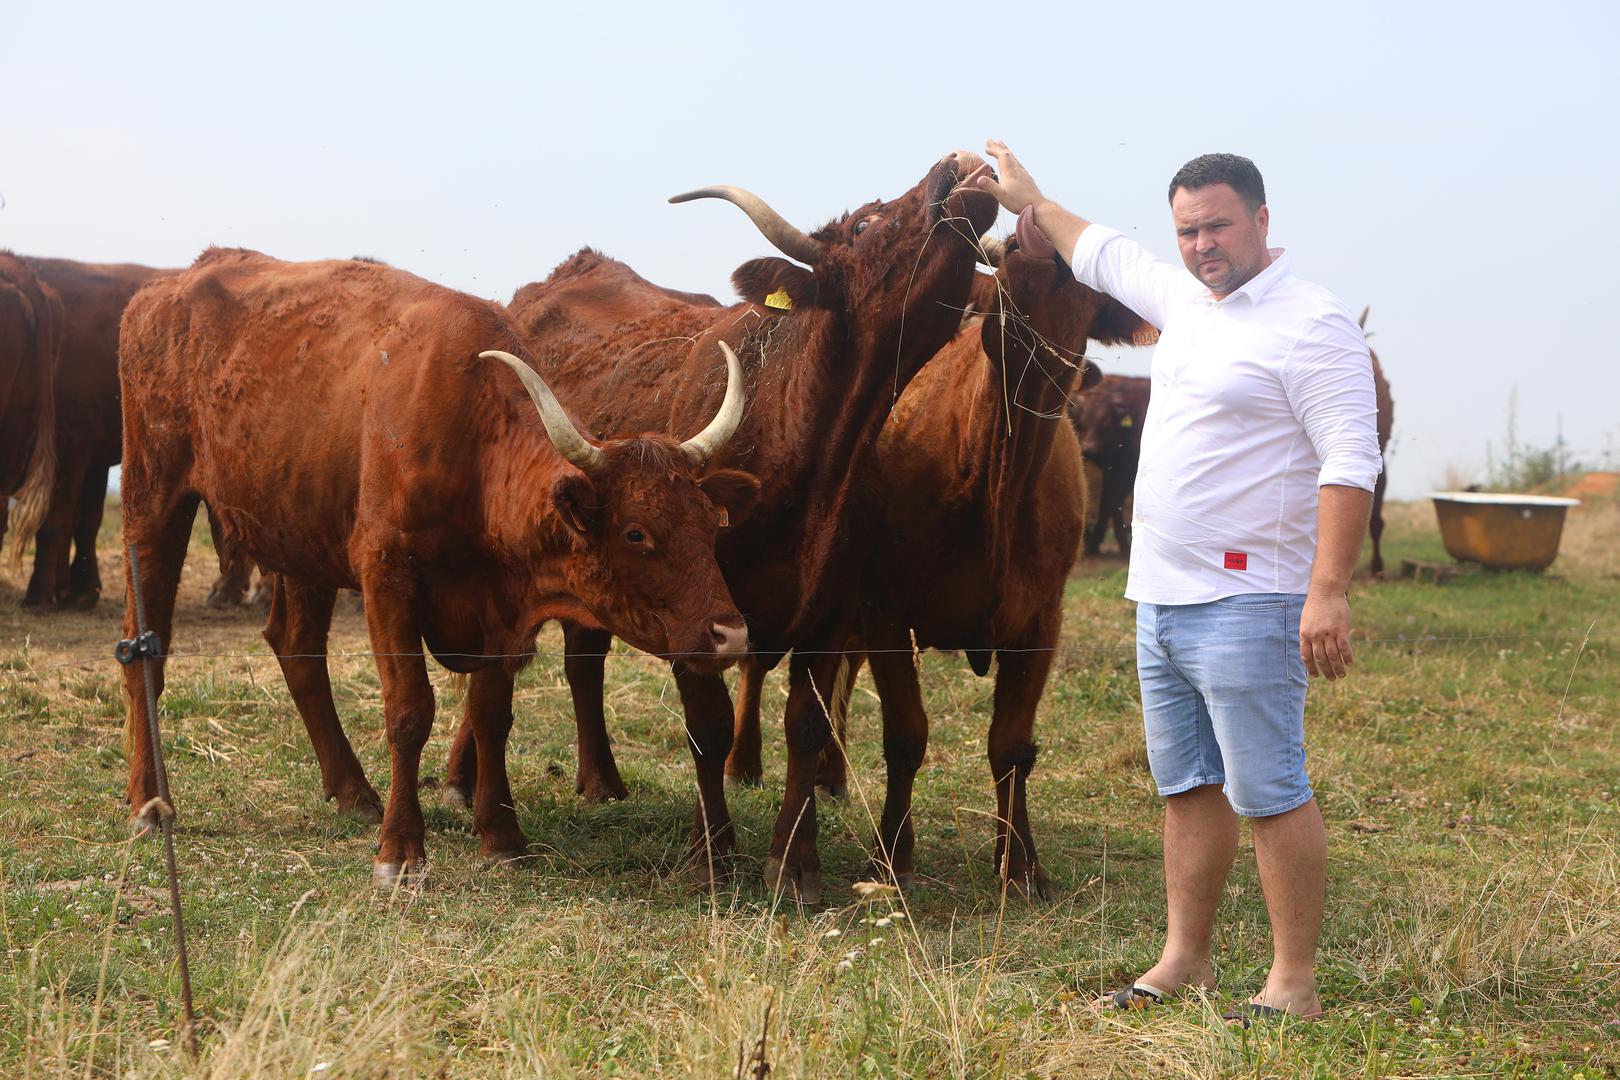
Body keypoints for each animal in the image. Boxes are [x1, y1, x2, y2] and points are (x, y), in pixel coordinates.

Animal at [20, 254, 174, 608]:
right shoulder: (93, 458)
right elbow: (85, 522)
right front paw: (77, 588)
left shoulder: (70, 448)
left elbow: (56, 522)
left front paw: (40, 594)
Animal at [119, 249, 758, 893]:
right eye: (636, 533)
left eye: (709, 523)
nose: (731, 635)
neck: (471, 437)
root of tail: (172, 284)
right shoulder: (386, 576)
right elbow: (409, 711)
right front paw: (401, 850)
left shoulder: (500, 608)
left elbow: (490, 715)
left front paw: (501, 836)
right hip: (153, 504)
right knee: (146, 649)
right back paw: (149, 803)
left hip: (301, 537)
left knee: (297, 647)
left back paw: (353, 791)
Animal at [1069, 374, 1159, 557]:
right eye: (1084, 418)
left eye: (1106, 421)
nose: (1090, 447)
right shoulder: (1114, 472)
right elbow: (1109, 503)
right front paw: (1095, 544)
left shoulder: (1124, 472)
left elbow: (1111, 502)